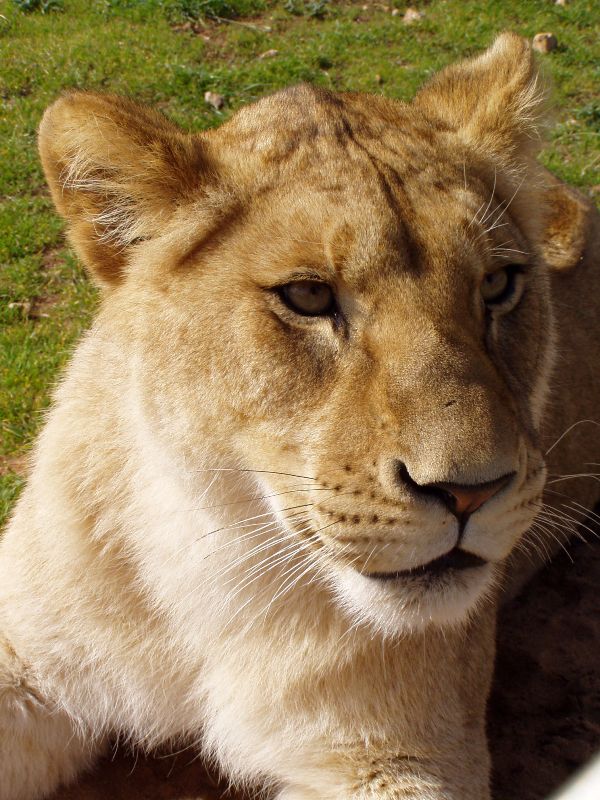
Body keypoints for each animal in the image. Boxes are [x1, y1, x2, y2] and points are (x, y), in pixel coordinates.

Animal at [0, 33, 598, 800]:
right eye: (309, 296)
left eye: (497, 284)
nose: (472, 492)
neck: (214, 557)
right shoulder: (23, 656)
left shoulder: (406, 756)